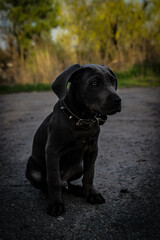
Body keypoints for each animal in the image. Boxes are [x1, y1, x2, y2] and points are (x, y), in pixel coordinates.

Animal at [25, 63, 121, 216]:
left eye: (113, 81)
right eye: (94, 83)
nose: (118, 101)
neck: (81, 119)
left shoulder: (92, 150)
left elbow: (89, 174)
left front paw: (91, 194)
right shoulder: (52, 151)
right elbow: (53, 180)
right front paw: (56, 204)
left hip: (79, 166)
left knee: (67, 184)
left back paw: (79, 190)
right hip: (32, 171)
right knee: (50, 184)